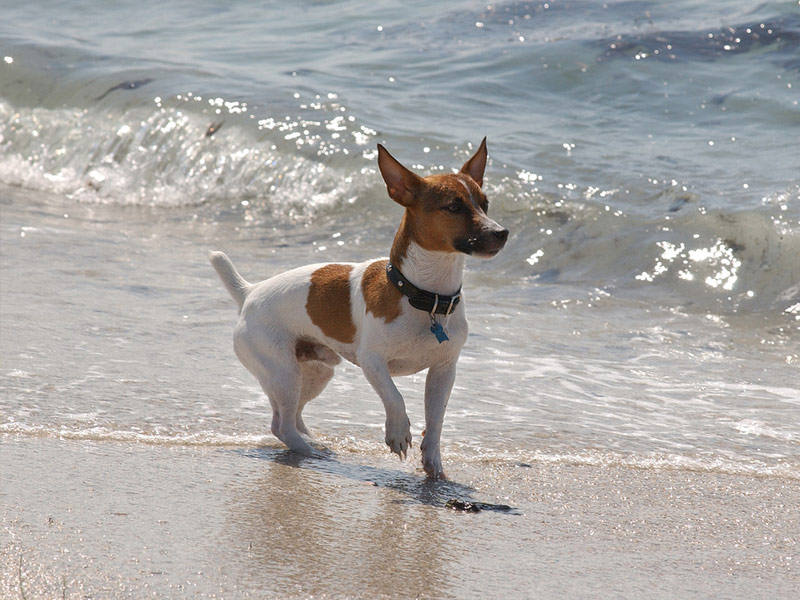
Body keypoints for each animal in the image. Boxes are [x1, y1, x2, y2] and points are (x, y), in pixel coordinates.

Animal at [209, 139, 510, 478]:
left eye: (485, 204)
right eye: (454, 207)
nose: (501, 233)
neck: (425, 295)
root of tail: (249, 292)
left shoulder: (444, 371)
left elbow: (436, 422)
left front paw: (434, 467)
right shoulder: (372, 362)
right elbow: (395, 396)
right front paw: (398, 433)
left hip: (314, 371)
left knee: (293, 415)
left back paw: (314, 442)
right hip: (283, 372)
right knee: (281, 425)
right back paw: (309, 452)